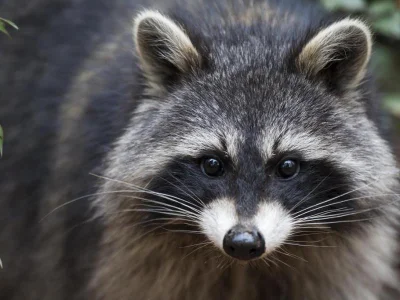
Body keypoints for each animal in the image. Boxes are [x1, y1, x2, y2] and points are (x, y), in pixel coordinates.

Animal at [0, 0, 400, 298]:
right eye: (212, 164)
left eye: (287, 166)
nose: (243, 242)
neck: (250, 28)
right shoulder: (112, 253)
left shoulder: (340, 261)